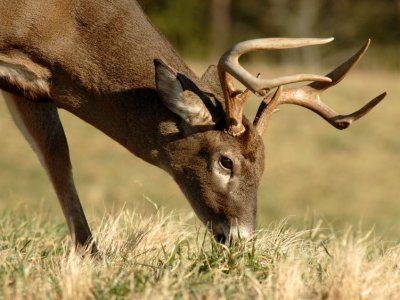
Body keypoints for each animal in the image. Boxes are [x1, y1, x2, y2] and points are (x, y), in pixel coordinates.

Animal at [0, 1, 388, 252]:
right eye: (225, 161)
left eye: (264, 166)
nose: (241, 240)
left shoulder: (35, 84)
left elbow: (56, 153)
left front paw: (90, 256)